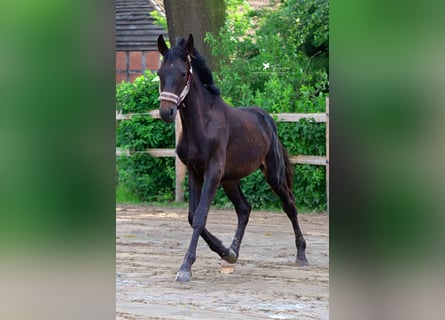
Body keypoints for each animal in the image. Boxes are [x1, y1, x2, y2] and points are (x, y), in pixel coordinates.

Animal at [158, 33, 306, 282]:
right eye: (160, 73)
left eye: (183, 73)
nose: (166, 112)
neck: (202, 124)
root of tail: (267, 119)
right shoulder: (195, 173)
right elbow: (192, 216)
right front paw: (223, 251)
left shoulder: (213, 172)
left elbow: (200, 216)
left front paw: (185, 267)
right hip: (230, 179)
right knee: (244, 208)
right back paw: (231, 252)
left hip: (272, 175)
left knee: (290, 205)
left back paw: (301, 255)